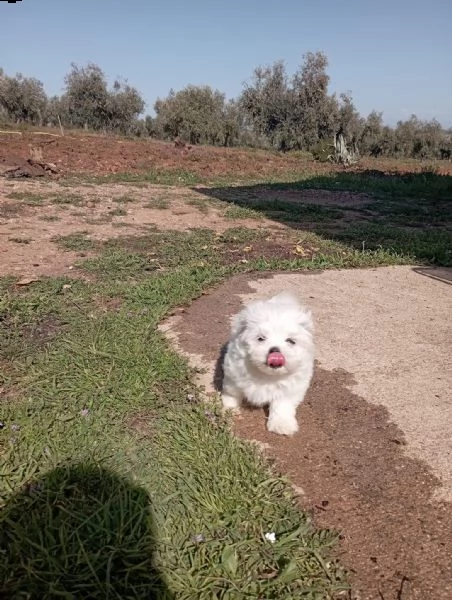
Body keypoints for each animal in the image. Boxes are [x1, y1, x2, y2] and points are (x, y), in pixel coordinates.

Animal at [222, 292, 314, 436]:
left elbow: (282, 405)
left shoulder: (290, 388)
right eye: (261, 338)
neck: (267, 375)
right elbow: (232, 393)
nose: (275, 350)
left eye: (290, 341)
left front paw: (282, 425)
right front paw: (229, 409)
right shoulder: (233, 373)